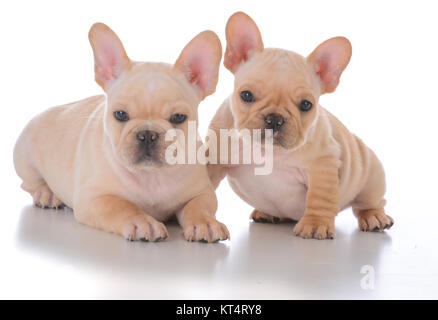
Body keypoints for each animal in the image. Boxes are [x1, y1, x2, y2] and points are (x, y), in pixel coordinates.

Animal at [13, 22, 229, 242]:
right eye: (120, 114)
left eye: (178, 117)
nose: (147, 134)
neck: (151, 176)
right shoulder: (94, 198)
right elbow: (121, 206)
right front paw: (143, 222)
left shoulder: (202, 192)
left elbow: (199, 206)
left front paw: (205, 223)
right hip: (24, 156)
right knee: (29, 184)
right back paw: (47, 194)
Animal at [208, 11, 394, 239]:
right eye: (246, 95)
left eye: (306, 105)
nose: (275, 119)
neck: (269, 152)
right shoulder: (215, 158)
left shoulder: (323, 166)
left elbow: (319, 198)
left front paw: (315, 224)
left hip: (371, 175)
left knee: (370, 202)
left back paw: (374, 216)